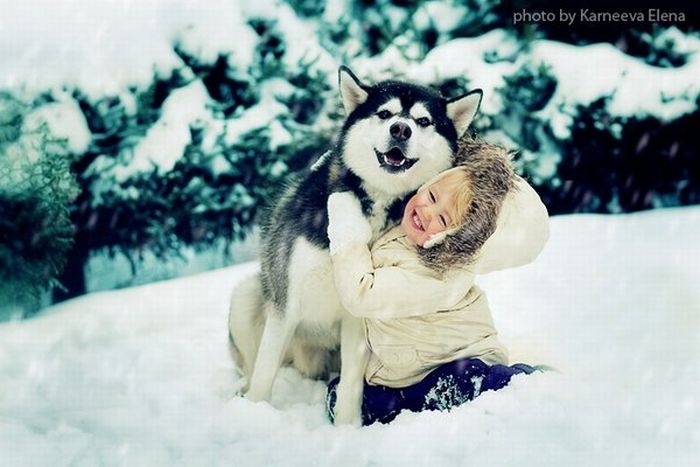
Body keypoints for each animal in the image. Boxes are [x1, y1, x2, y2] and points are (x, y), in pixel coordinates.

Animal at [228, 65, 482, 424]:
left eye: (423, 121)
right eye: (385, 114)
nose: (400, 129)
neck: (374, 199)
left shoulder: (360, 314)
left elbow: (350, 385)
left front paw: (346, 428)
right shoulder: (286, 302)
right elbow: (264, 373)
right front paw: (252, 414)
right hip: (249, 296)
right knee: (254, 366)